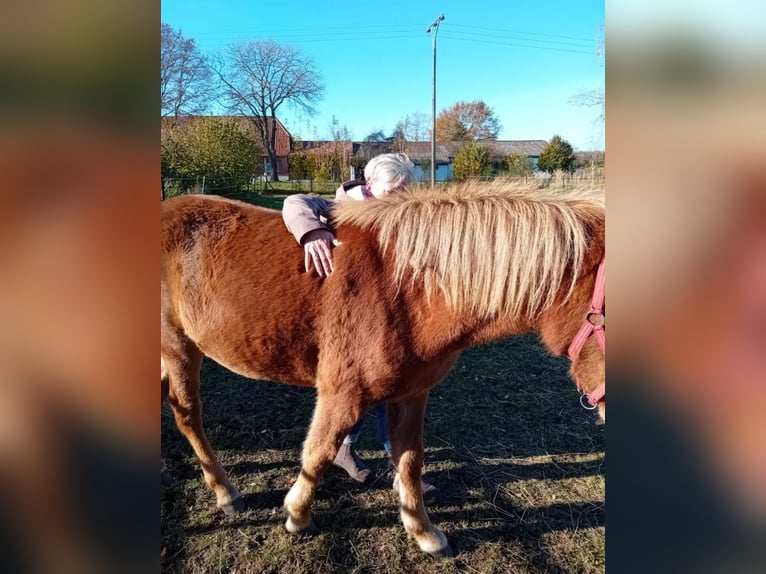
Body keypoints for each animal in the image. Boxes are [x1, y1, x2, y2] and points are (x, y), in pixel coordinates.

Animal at [160, 183, 608, 560]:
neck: (409, 288)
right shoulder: (342, 393)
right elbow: (319, 452)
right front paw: (297, 516)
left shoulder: (412, 394)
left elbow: (409, 460)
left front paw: (424, 532)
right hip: (178, 347)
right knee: (187, 413)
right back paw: (225, 491)